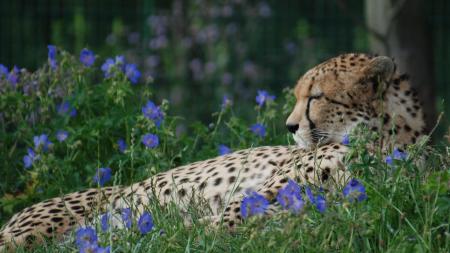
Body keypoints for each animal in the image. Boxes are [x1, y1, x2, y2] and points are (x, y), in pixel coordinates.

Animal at [0, 53, 426, 251]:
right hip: (37, 230)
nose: (290, 127)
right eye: (299, 95)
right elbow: (211, 224)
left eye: (317, 97)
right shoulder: (254, 197)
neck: (385, 141)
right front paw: (160, 233)